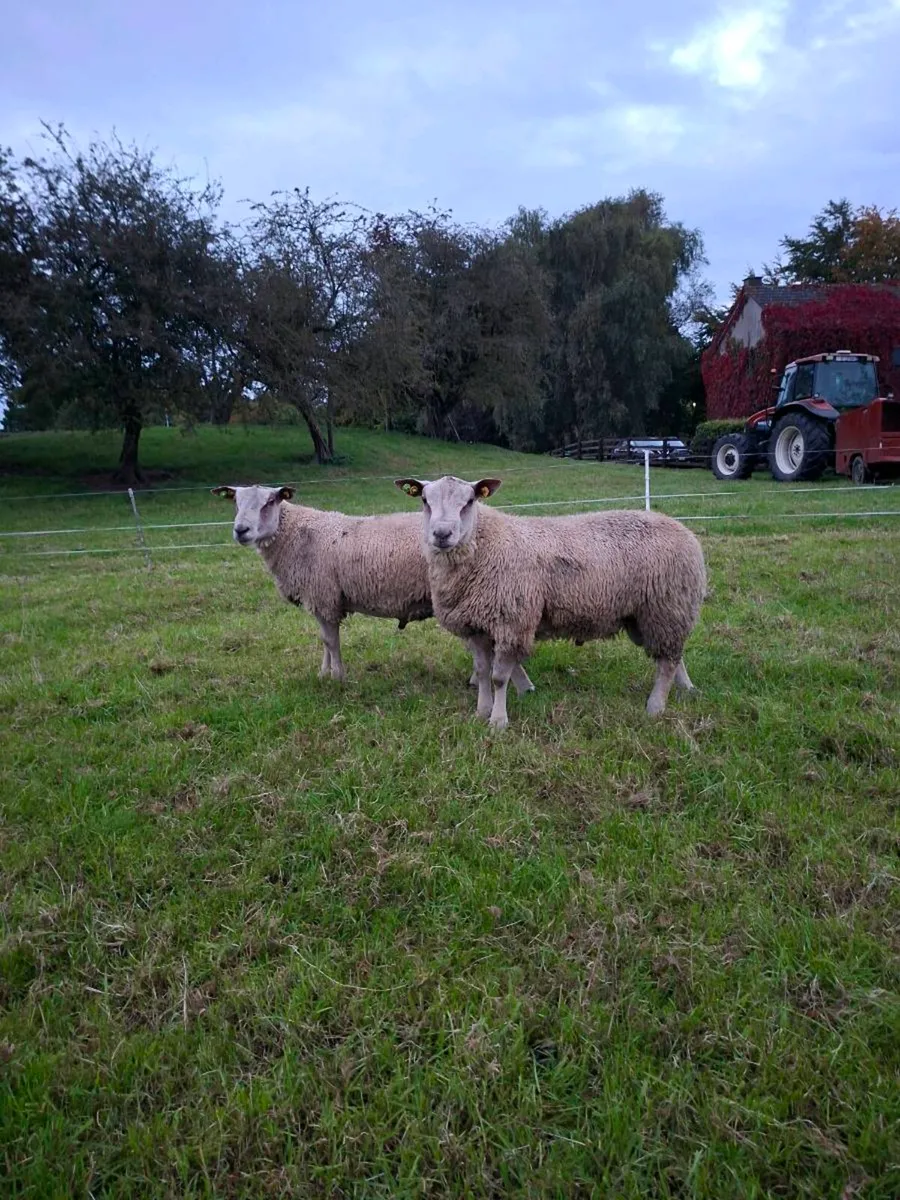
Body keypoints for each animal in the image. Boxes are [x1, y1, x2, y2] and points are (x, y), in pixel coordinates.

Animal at [211, 483, 536, 693]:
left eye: (269, 502)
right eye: (236, 503)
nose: (241, 530)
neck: (296, 534)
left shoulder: (324, 596)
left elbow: (331, 642)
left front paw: (337, 679)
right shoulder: (322, 600)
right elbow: (324, 641)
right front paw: (324, 674)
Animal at [394, 474, 706, 729]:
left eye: (470, 501)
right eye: (424, 500)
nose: (442, 534)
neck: (484, 544)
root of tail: (686, 533)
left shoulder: (512, 622)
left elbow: (498, 678)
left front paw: (498, 722)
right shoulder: (476, 626)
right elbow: (482, 673)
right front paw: (481, 713)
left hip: (666, 607)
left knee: (667, 662)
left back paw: (656, 706)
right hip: (647, 616)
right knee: (673, 655)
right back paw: (686, 689)